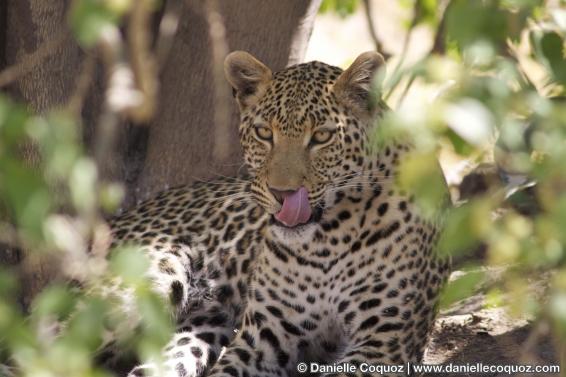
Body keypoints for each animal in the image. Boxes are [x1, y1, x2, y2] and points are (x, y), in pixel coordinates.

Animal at [114, 50, 452, 376]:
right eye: (264, 133)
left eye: (321, 136)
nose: (282, 193)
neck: (327, 242)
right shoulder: (263, 338)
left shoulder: (384, 342)